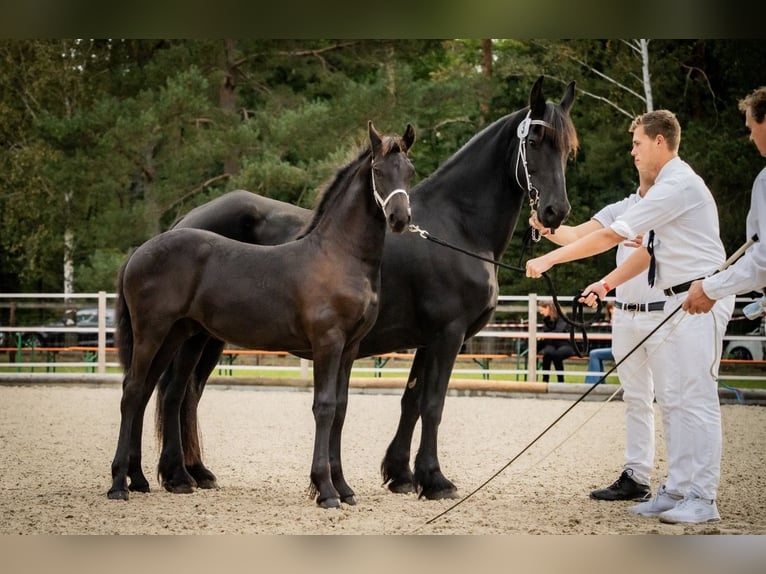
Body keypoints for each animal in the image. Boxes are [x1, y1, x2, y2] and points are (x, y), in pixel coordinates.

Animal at [108, 121, 416, 508]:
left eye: (410, 170)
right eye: (377, 170)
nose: (400, 218)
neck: (337, 256)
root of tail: (139, 252)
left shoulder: (350, 348)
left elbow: (342, 409)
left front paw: (344, 488)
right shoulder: (327, 344)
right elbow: (325, 407)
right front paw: (326, 490)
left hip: (177, 335)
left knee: (150, 391)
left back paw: (141, 479)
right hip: (152, 333)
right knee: (133, 391)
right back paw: (119, 484)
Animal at [157, 75, 578, 500]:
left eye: (568, 149)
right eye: (535, 141)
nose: (555, 212)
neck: (457, 227)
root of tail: (184, 222)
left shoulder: (427, 339)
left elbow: (411, 401)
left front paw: (402, 474)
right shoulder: (448, 334)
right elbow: (433, 406)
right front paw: (434, 479)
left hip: (210, 336)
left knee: (190, 394)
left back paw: (197, 471)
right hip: (194, 337)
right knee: (175, 392)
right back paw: (177, 475)